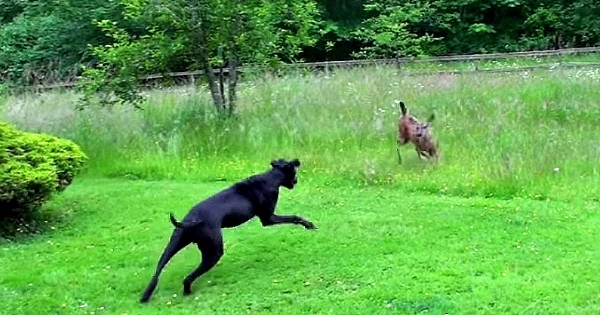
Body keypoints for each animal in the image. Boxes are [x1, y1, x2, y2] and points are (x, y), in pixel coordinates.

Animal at [139, 159, 316, 304]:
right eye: (294, 172)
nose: (296, 180)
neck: (271, 177)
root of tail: (191, 222)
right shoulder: (269, 218)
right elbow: (294, 217)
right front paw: (309, 224)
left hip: (173, 244)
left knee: (157, 272)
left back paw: (145, 296)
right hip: (214, 251)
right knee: (188, 278)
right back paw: (187, 292)